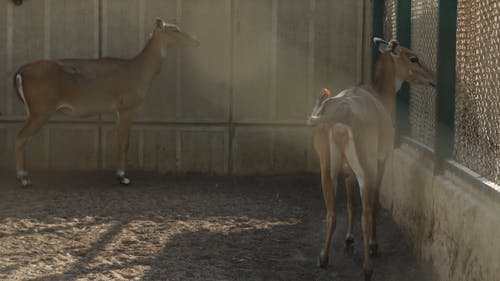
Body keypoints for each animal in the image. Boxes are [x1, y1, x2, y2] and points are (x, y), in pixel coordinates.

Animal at [12, 18, 199, 187]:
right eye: (174, 29)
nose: (196, 41)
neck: (140, 71)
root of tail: (20, 73)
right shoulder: (126, 106)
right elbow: (125, 142)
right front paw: (123, 177)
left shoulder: (117, 110)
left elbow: (119, 140)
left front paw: (119, 174)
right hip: (41, 110)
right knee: (20, 137)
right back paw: (23, 179)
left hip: (32, 111)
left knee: (24, 139)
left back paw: (25, 175)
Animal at [306, 37, 436, 280]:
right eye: (413, 58)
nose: (433, 77)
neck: (380, 97)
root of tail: (340, 115)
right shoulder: (381, 160)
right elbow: (374, 205)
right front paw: (374, 245)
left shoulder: (347, 171)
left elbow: (350, 204)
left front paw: (349, 239)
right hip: (366, 168)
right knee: (366, 213)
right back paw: (368, 266)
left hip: (327, 167)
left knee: (332, 212)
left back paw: (323, 258)